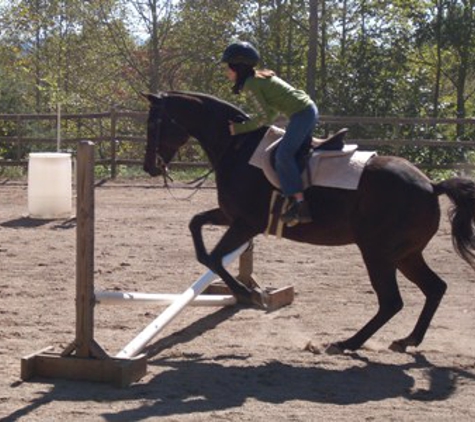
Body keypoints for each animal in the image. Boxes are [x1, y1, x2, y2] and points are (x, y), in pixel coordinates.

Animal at [142, 90, 475, 354]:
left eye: (154, 123)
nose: (149, 168)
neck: (236, 149)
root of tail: (431, 185)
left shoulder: (246, 223)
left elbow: (213, 257)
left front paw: (250, 294)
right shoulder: (231, 217)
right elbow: (196, 229)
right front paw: (247, 292)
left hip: (378, 253)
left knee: (392, 301)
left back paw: (348, 343)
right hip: (406, 254)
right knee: (435, 288)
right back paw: (406, 340)